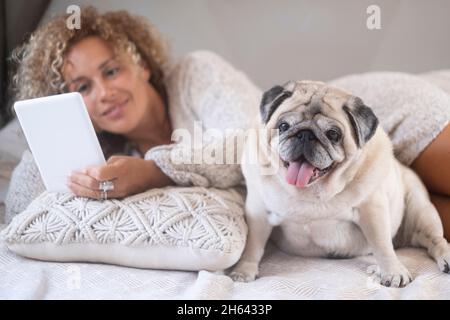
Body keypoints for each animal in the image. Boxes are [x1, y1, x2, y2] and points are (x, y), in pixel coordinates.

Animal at [232, 80, 450, 288]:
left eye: (333, 134)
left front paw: (392, 272)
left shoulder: (372, 210)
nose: (305, 134)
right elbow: (253, 245)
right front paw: (244, 270)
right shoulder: (258, 211)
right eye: (284, 126)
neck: (311, 191)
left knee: (435, 240)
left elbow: (382, 245)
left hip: (420, 210)